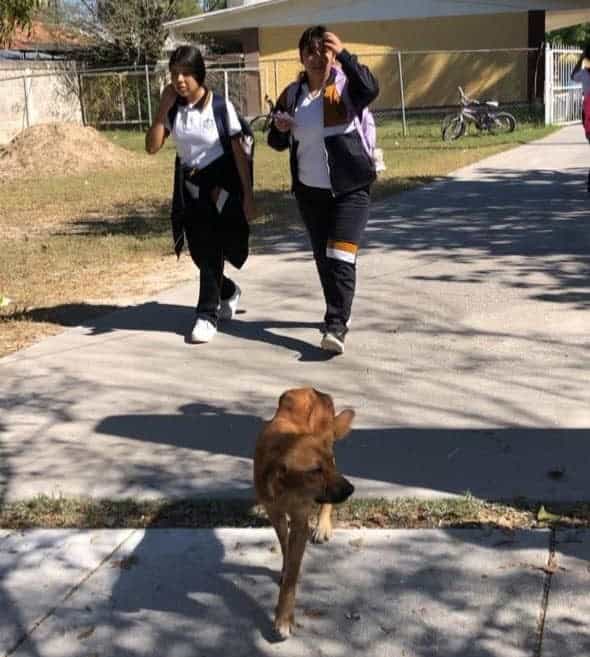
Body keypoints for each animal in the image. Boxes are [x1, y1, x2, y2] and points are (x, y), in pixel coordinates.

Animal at [254, 386, 356, 640]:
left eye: (325, 467)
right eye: (315, 471)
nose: (351, 489)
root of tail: (313, 390)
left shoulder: (300, 522)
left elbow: (292, 574)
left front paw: (283, 618)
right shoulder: (276, 514)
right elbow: (285, 546)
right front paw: (284, 566)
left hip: (328, 441)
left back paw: (323, 526)